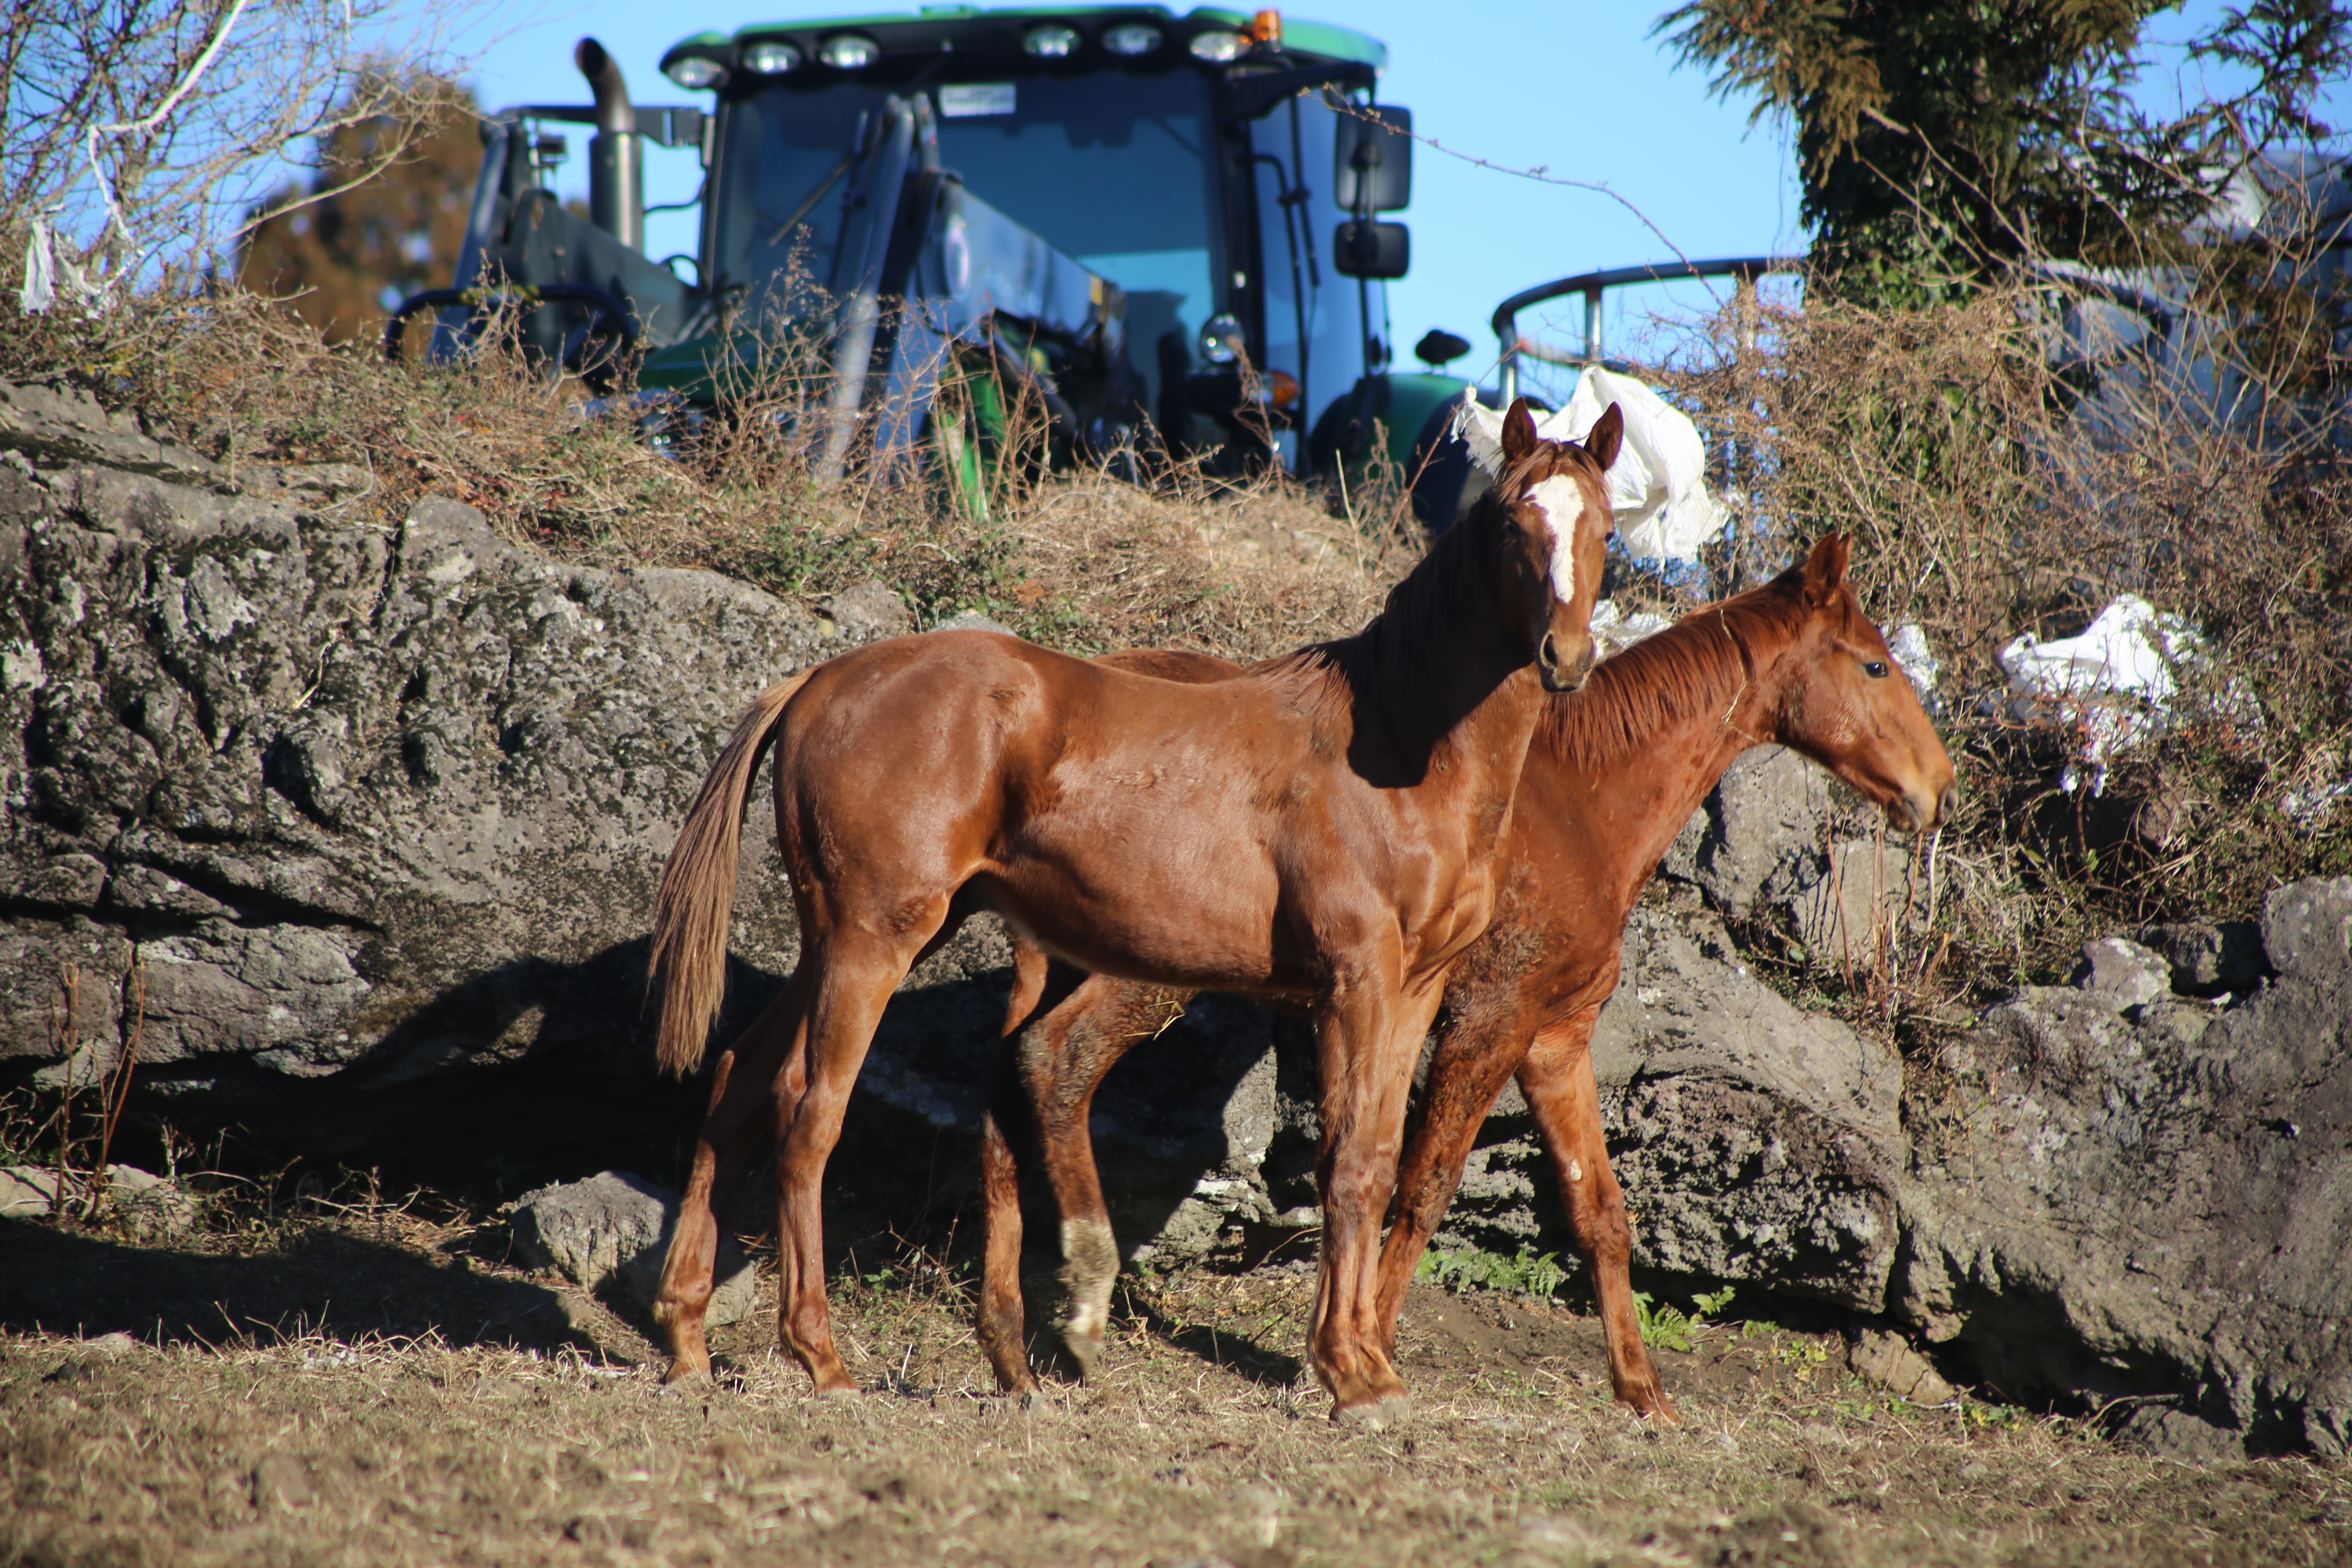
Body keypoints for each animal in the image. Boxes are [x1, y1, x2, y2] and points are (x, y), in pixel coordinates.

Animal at [644, 402, 1637, 1420]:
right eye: (1516, 525)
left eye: (1607, 531)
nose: (1566, 660)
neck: (1399, 749)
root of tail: (818, 680)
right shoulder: (1356, 980)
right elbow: (1352, 1164)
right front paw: (1348, 1372)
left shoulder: (1416, 991)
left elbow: (1378, 1158)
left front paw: (1367, 1362)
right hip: (871, 944)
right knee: (811, 1115)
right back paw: (823, 1357)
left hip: (839, 940)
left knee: (739, 1084)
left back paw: (688, 1338)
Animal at [973, 531, 1947, 1420]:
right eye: (1873, 664)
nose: (1937, 787)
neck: (1582, 808)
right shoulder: (1490, 1020)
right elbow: (1423, 1185)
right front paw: (1357, 1354)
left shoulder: (1556, 1040)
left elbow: (1600, 1209)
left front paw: (1643, 1393)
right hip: (1147, 972)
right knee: (1057, 1066)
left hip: (1053, 963)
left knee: (1005, 1106)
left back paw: (1014, 1352)